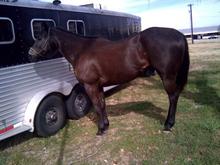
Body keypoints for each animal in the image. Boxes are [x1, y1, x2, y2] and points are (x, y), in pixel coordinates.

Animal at [28, 26, 189, 135]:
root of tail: (180, 35)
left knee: (173, 97)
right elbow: (102, 105)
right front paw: (106, 125)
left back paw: (168, 124)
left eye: (40, 37)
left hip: (167, 76)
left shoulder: (90, 86)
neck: (82, 50)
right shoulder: (98, 86)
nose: (30, 54)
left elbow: (97, 106)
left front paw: (100, 130)